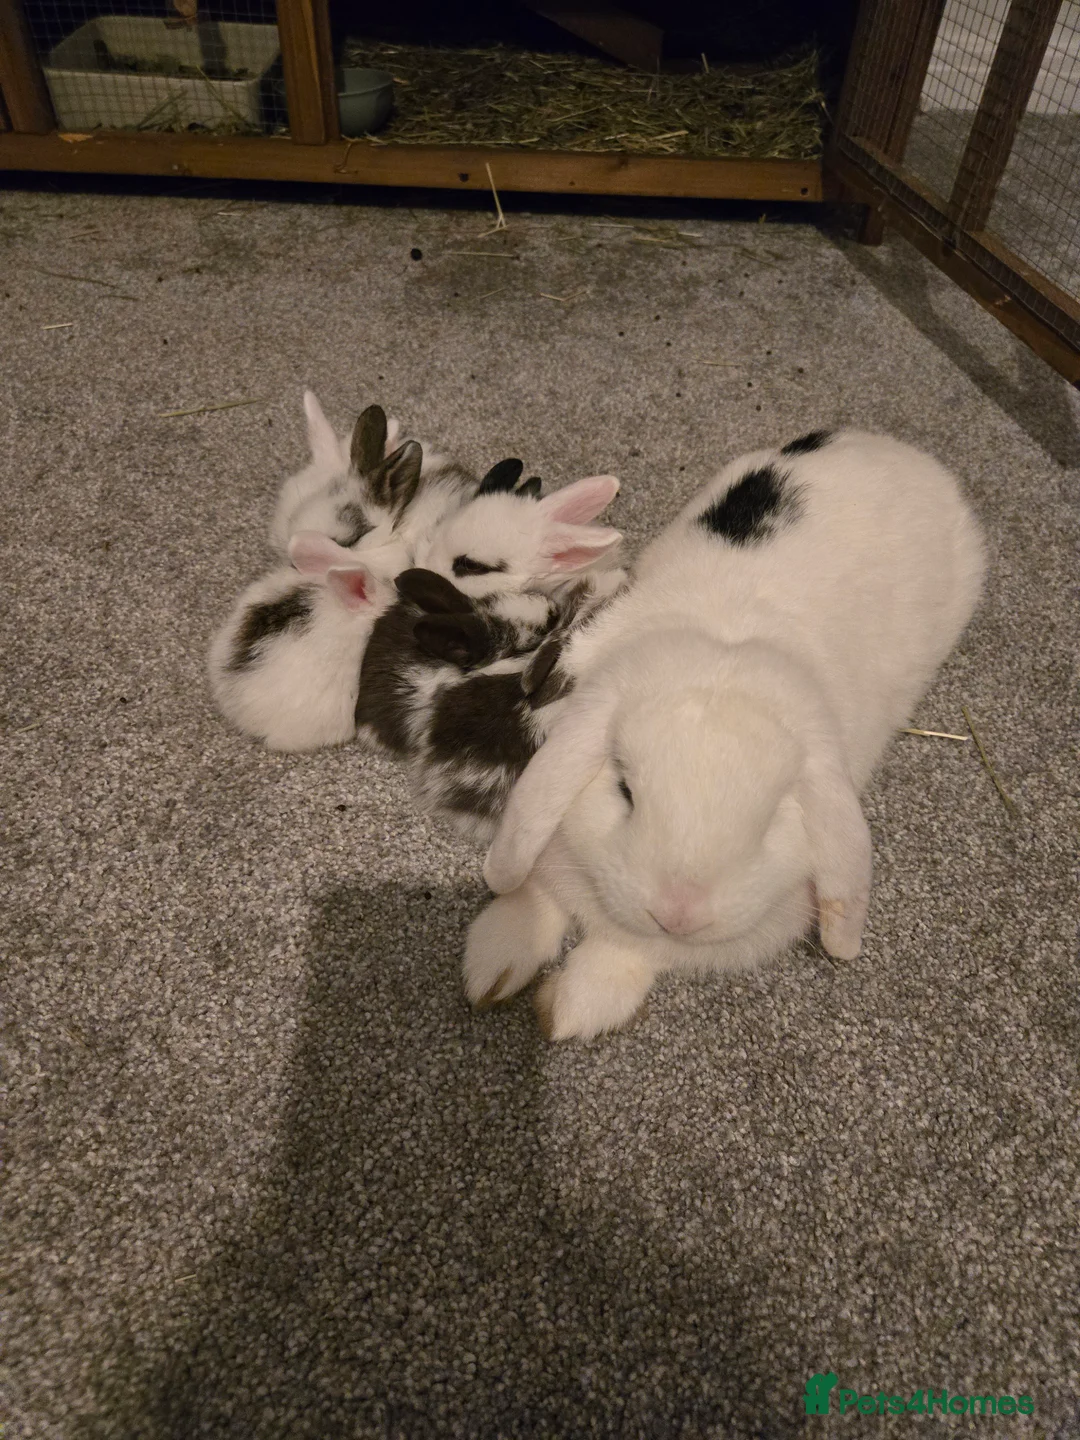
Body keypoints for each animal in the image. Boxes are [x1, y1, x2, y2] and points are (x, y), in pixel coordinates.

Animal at [465, 428, 987, 1041]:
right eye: (624, 791)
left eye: (771, 820)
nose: (677, 913)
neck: (721, 655)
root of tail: (904, 453)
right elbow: (531, 893)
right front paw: (492, 962)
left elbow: (626, 954)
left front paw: (570, 1010)